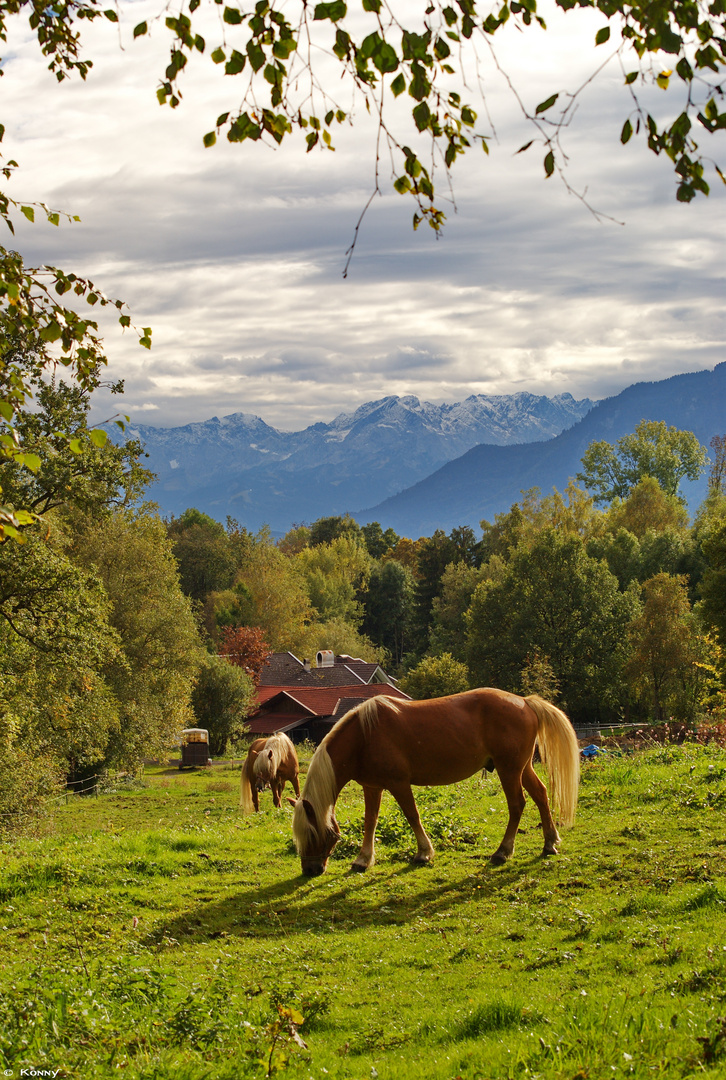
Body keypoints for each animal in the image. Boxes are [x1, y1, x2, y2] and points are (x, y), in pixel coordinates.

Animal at [289, 691, 579, 876]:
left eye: (312, 833)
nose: (310, 870)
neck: (364, 735)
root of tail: (525, 702)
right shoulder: (372, 786)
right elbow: (370, 821)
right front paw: (363, 859)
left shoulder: (399, 784)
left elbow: (412, 815)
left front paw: (424, 853)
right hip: (522, 768)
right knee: (541, 795)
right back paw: (550, 842)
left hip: (509, 770)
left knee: (517, 804)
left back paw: (503, 851)